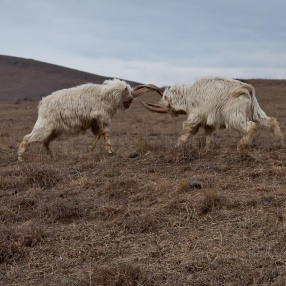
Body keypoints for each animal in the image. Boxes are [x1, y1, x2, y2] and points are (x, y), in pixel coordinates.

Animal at [141, 76, 284, 154]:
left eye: (165, 100)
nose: (170, 111)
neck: (188, 93)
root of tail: (247, 89)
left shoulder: (196, 115)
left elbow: (189, 131)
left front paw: (178, 145)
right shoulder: (207, 120)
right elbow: (208, 135)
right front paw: (206, 149)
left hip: (234, 116)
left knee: (251, 127)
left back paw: (240, 145)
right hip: (256, 111)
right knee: (271, 122)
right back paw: (280, 143)